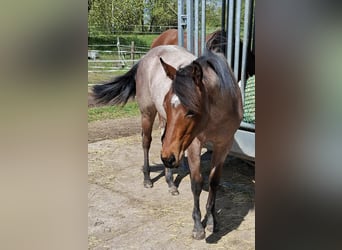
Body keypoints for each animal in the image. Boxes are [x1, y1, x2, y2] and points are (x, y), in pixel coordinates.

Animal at [92, 45, 242, 240]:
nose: (169, 158)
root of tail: (146, 57)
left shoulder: (223, 145)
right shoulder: (194, 144)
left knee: (164, 143)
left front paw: (211, 221)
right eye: (166, 103)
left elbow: (214, 182)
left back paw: (171, 183)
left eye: (192, 111)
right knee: (146, 143)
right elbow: (197, 183)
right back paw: (148, 179)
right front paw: (198, 226)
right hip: (148, 114)